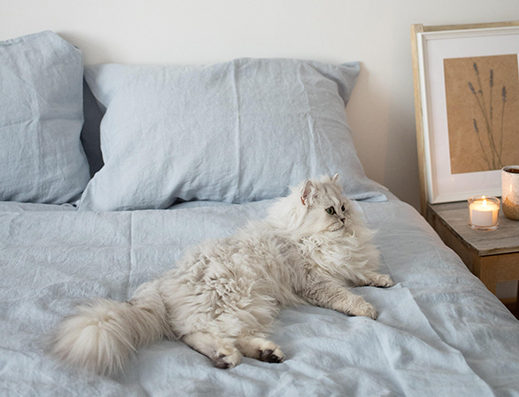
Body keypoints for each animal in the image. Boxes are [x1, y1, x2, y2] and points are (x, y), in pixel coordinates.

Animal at [51, 174, 394, 374]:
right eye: (330, 211)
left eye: (345, 207)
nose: (345, 220)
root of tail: (159, 288)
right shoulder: (313, 280)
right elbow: (345, 296)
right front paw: (367, 308)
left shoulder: (345, 266)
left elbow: (363, 274)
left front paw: (384, 281)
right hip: (237, 301)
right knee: (195, 334)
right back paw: (227, 357)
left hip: (252, 306)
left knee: (222, 335)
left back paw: (265, 354)